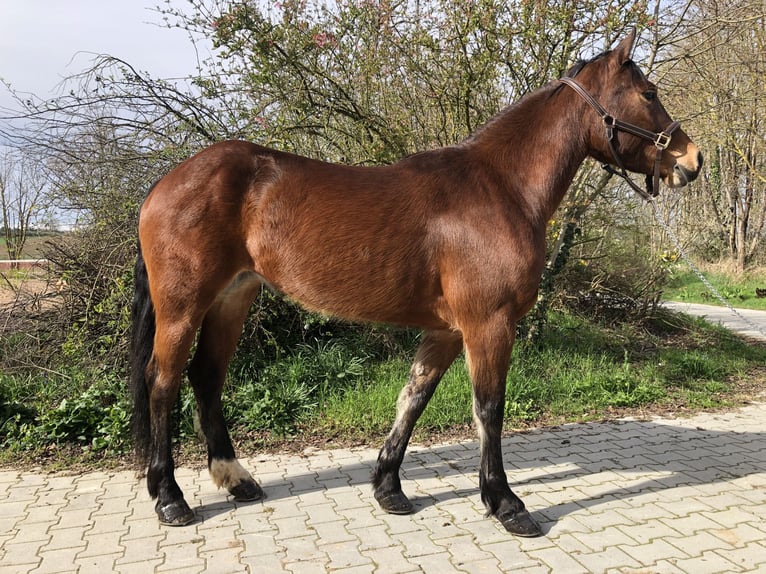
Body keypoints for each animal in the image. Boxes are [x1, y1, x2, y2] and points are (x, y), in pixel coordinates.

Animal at [130, 29, 704, 536]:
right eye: (648, 93)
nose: (692, 160)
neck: (500, 188)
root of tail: (164, 182)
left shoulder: (448, 329)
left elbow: (413, 397)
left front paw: (389, 488)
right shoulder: (488, 324)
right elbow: (489, 409)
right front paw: (506, 503)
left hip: (233, 298)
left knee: (206, 377)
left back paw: (235, 479)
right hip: (183, 306)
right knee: (163, 381)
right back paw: (170, 498)